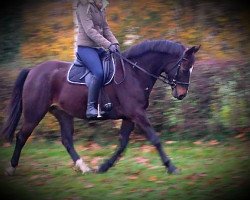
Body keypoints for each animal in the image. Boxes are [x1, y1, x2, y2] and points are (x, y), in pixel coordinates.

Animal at [0, 39, 199, 175]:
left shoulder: (130, 117)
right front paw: (171, 167)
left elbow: (122, 144)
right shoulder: (137, 114)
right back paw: (11, 168)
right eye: (184, 67)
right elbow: (155, 139)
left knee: (67, 141)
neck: (135, 72)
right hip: (34, 113)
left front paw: (104, 167)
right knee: (21, 136)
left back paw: (84, 168)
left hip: (63, 114)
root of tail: (33, 70)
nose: (181, 94)